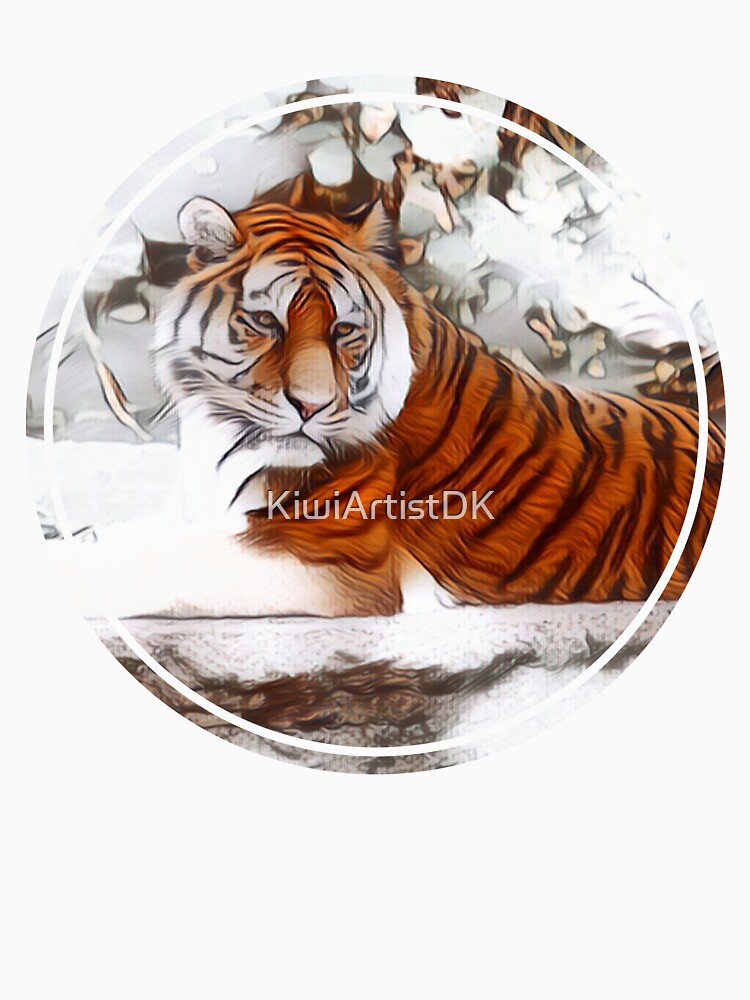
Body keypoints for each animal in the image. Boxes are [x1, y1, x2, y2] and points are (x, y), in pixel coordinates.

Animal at [66, 196, 723, 620]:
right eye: (266, 322)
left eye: (344, 331)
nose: (310, 406)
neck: (221, 431)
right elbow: (118, 537)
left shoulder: (334, 557)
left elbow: (149, 564)